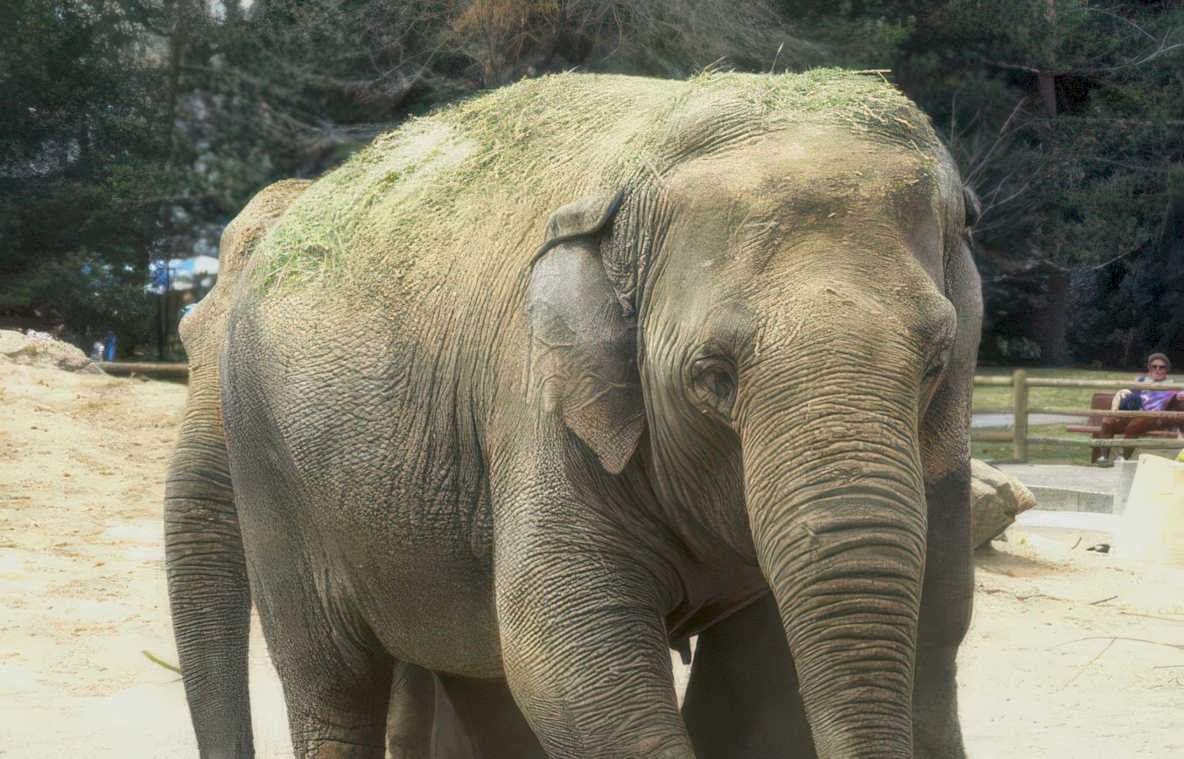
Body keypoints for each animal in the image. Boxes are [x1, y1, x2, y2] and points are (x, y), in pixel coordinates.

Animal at [165, 69, 983, 758]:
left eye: (936, 361)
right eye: (710, 374)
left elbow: (761, 678)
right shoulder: (536, 402)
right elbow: (564, 647)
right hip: (274, 474)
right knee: (331, 677)